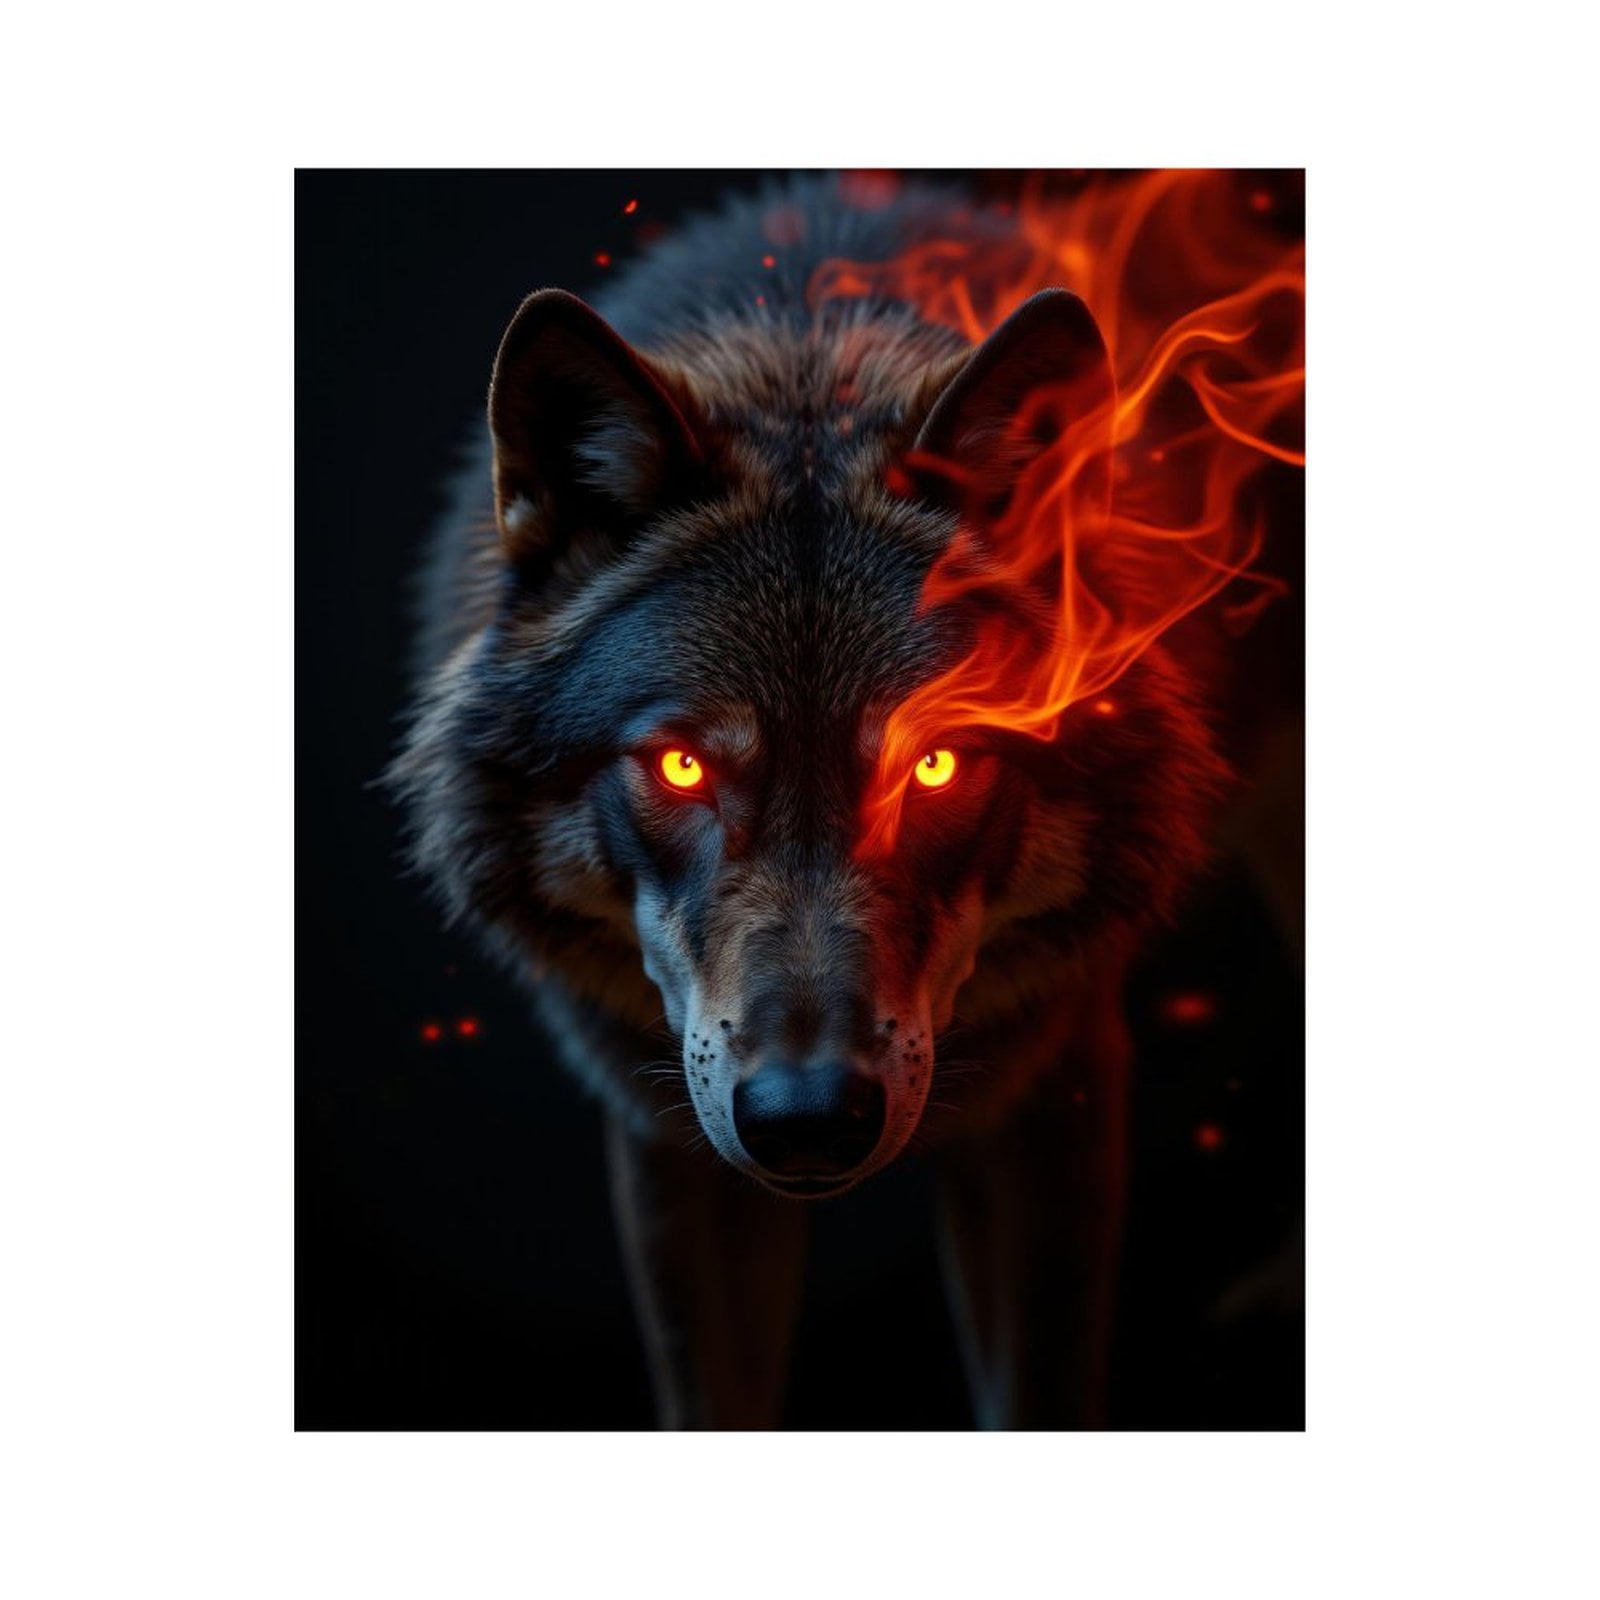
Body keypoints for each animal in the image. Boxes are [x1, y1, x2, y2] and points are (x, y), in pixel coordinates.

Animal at [390, 175, 1237, 1429]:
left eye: (935, 765)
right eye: (681, 767)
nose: (806, 1117)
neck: (803, 349)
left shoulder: (1061, 1092)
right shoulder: (667, 1140)